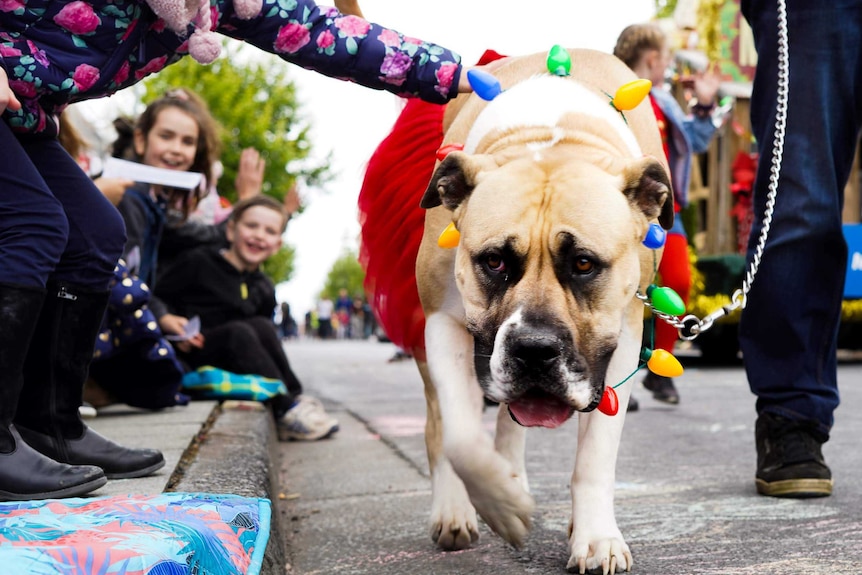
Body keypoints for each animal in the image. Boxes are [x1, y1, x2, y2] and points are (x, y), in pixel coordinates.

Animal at [414, 50, 676, 575]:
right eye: (494, 261)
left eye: (584, 264)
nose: (534, 350)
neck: (551, 137)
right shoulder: (443, 324)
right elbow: (461, 438)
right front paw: (499, 505)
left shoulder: (622, 338)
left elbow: (595, 456)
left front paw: (596, 536)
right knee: (439, 426)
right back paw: (456, 508)